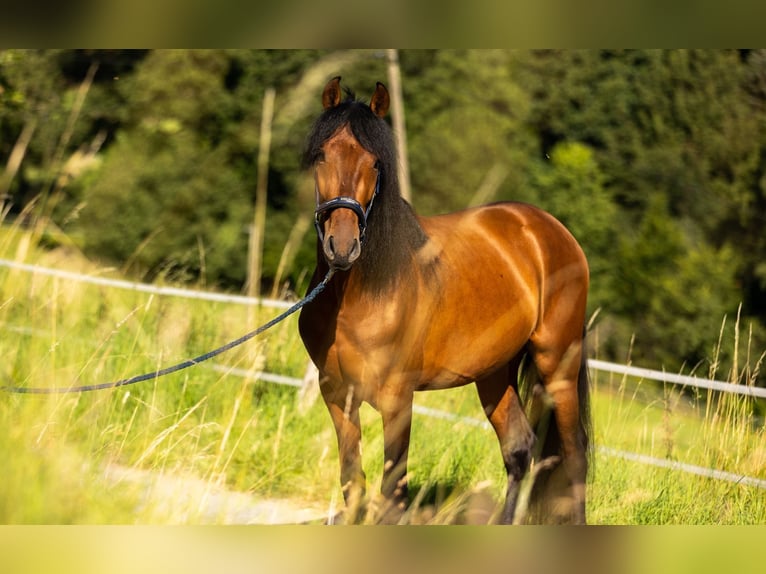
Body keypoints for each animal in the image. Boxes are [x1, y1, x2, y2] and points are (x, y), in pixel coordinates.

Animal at [298, 77, 591, 524]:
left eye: (375, 163)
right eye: (322, 156)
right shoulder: (337, 395)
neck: (358, 298)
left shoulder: (397, 401)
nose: (342, 246)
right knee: (519, 448)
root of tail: (553, 231)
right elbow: (353, 482)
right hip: (495, 374)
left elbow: (392, 490)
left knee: (574, 458)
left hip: (558, 364)